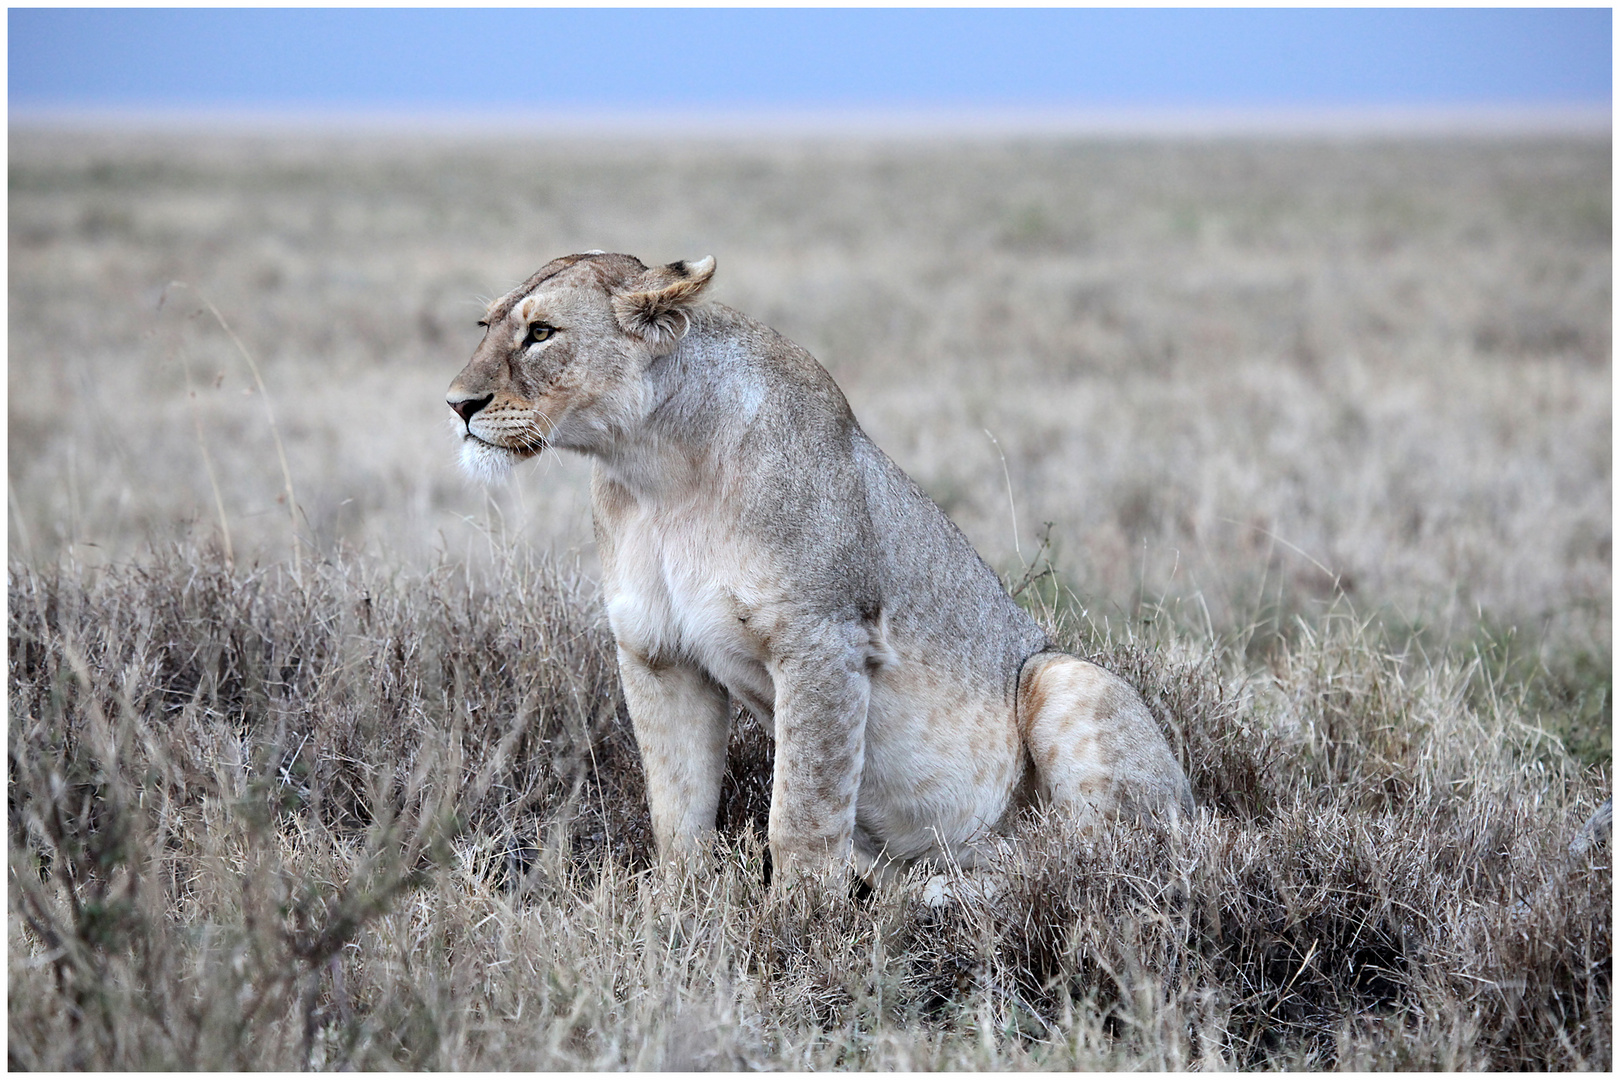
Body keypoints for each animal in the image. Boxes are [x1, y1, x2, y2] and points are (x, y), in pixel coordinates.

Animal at [443, 250, 1192, 887]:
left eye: (542, 332)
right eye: (485, 326)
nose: (456, 404)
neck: (652, 468)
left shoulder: (822, 641)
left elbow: (800, 812)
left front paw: (799, 925)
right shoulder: (657, 652)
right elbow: (676, 808)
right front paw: (679, 908)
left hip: (1064, 677)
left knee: (1094, 858)